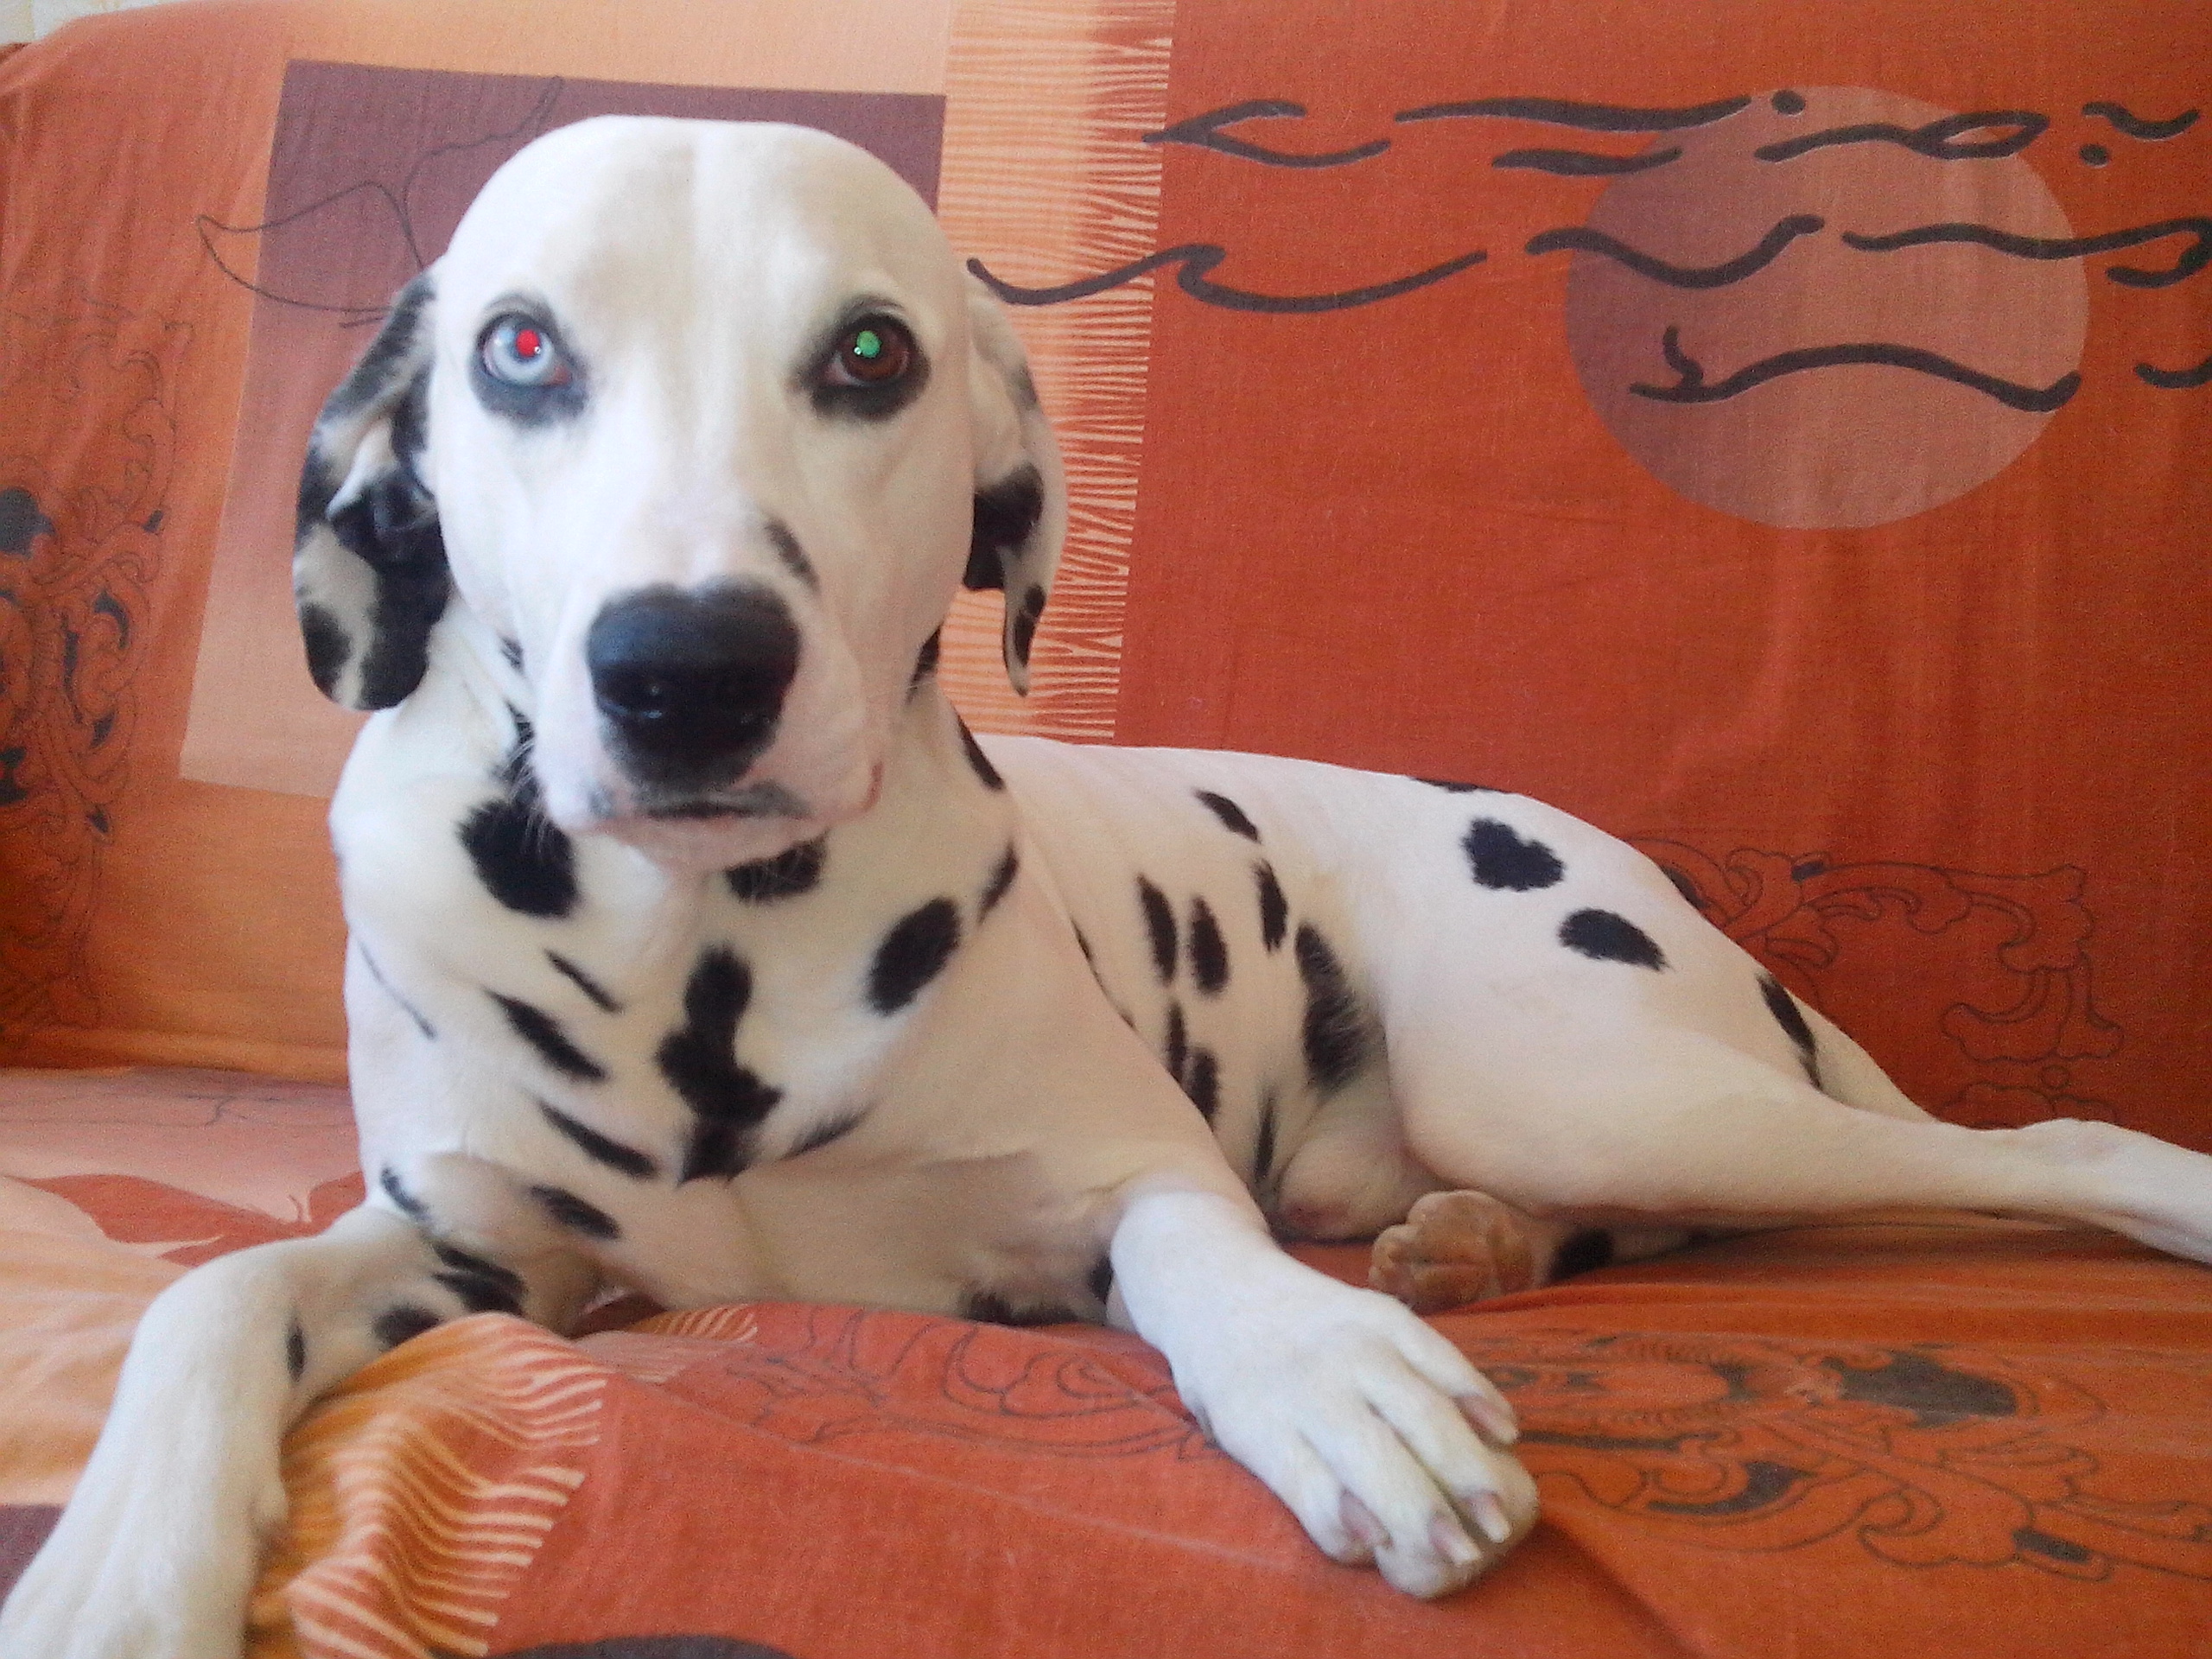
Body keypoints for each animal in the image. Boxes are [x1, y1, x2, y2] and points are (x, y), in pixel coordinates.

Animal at [9, 116, 2212, 1657]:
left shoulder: (1113, 1179)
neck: (699, 964)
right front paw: (120, 1558)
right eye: (520, 346)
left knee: (2035, 1151)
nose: (685, 669)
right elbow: (216, 1292)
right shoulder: (478, 1255)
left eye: (870, 352)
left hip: (1601, 1080)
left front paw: (1322, 1376)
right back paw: (1474, 1245)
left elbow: (1192, 1252)